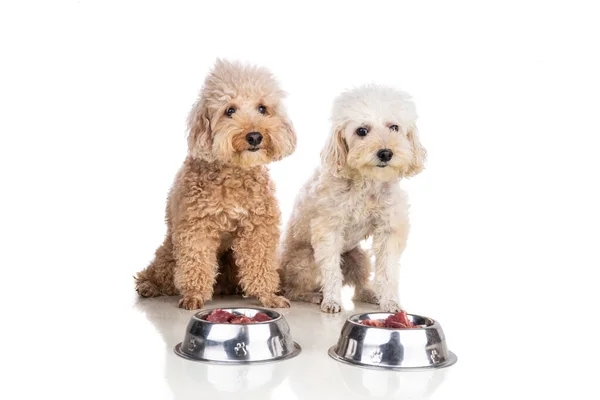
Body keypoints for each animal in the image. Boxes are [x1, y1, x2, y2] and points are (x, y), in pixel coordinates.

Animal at [278, 85, 424, 312]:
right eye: (361, 131)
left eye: (394, 127)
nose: (385, 153)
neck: (367, 182)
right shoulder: (328, 230)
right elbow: (331, 270)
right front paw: (331, 301)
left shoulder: (389, 230)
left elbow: (387, 270)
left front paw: (390, 301)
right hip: (306, 261)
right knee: (293, 290)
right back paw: (313, 295)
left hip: (358, 257)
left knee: (358, 288)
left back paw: (371, 294)